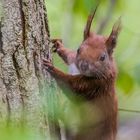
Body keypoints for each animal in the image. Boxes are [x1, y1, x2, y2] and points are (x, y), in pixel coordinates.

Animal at [43, 7, 121, 140]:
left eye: (103, 57)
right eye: (79, 49)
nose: (84, 65)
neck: (79, 71)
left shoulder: (95, 84)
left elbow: (70, 85)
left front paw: (52, 69)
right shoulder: (73, 61)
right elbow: (69, 55)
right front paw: (59, 45)